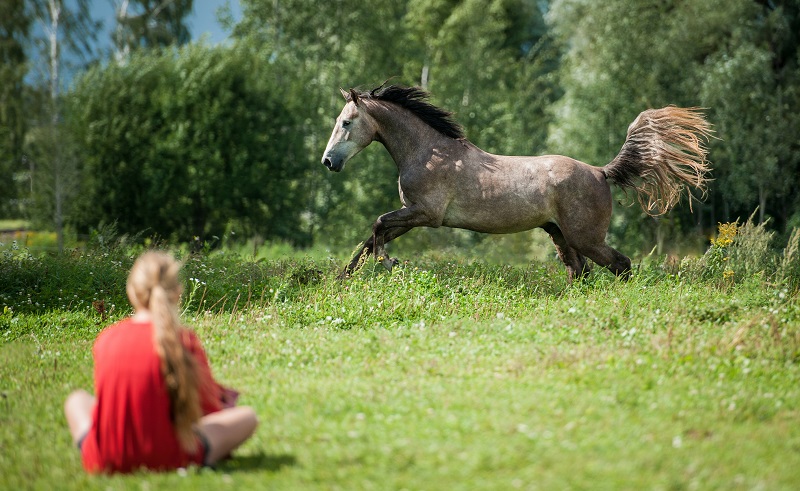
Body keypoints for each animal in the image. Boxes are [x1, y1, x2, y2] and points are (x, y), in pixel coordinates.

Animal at [321, 84, 712, 282]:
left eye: (345, 122)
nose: (328, 162)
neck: (428, 151)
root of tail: (601, 172)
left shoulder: (425, 214)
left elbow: (377, 227)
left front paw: (390, 266)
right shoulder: (412, 214)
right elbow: (371, 238)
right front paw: (343, 279)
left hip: (585, 237)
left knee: (621, 264)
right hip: (561, 235)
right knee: (580, 273)